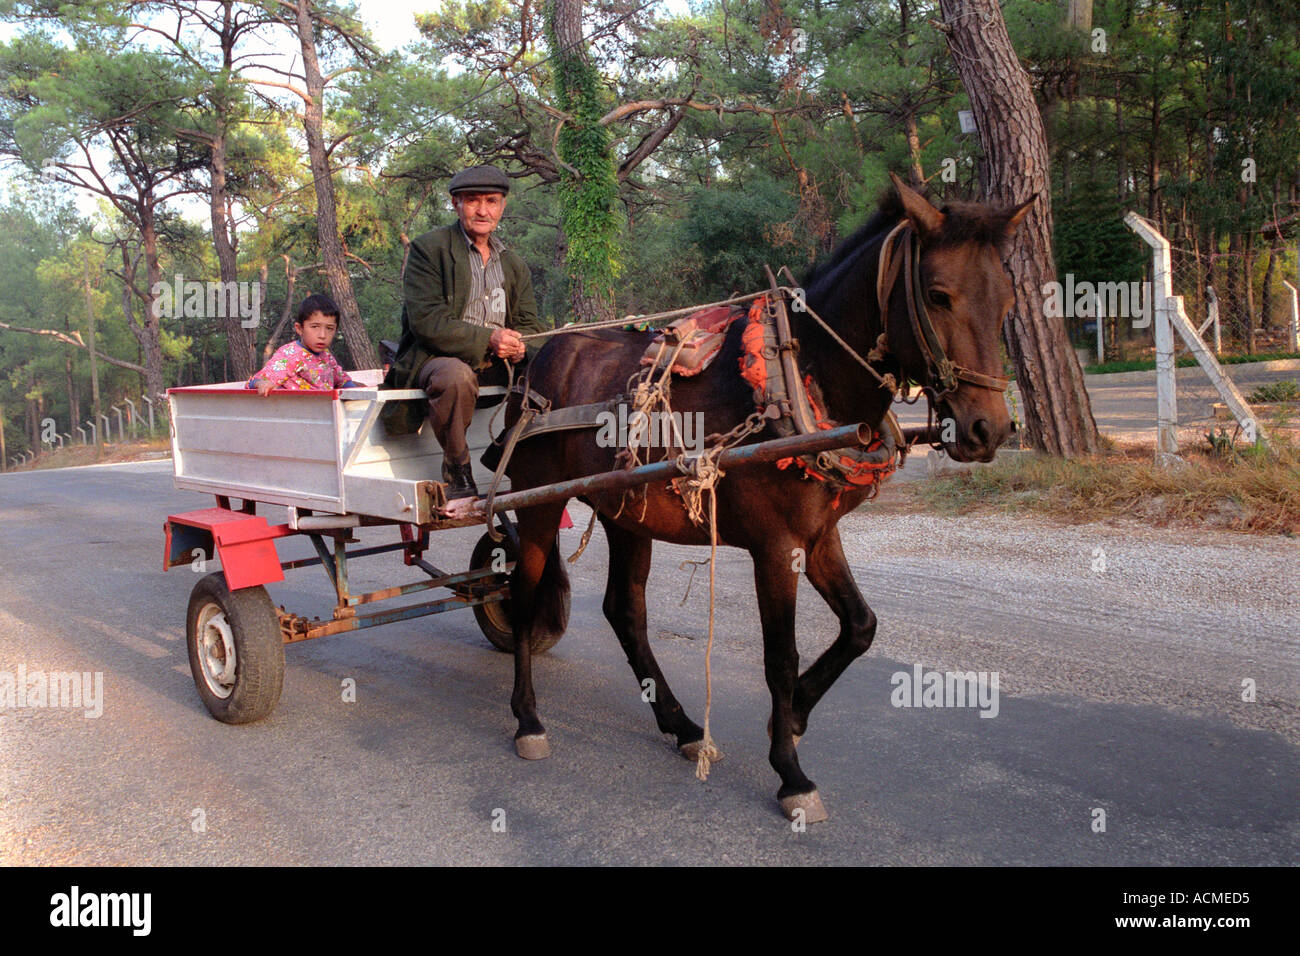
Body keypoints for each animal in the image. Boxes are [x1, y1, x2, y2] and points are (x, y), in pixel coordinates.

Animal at [496, 174, 1034, 822]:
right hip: (539, 505)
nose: (989, 430)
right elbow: (781, 655)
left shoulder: (819, 536)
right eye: (937, 295)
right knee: (525, 597)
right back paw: (528, 718)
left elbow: (861, 626)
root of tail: (537, 361)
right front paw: (790, 772)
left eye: (1006, 300)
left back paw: (682, 726)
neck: (798, 377)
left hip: (627, 511)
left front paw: (794, 717)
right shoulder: (775, 547)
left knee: (625, 612)